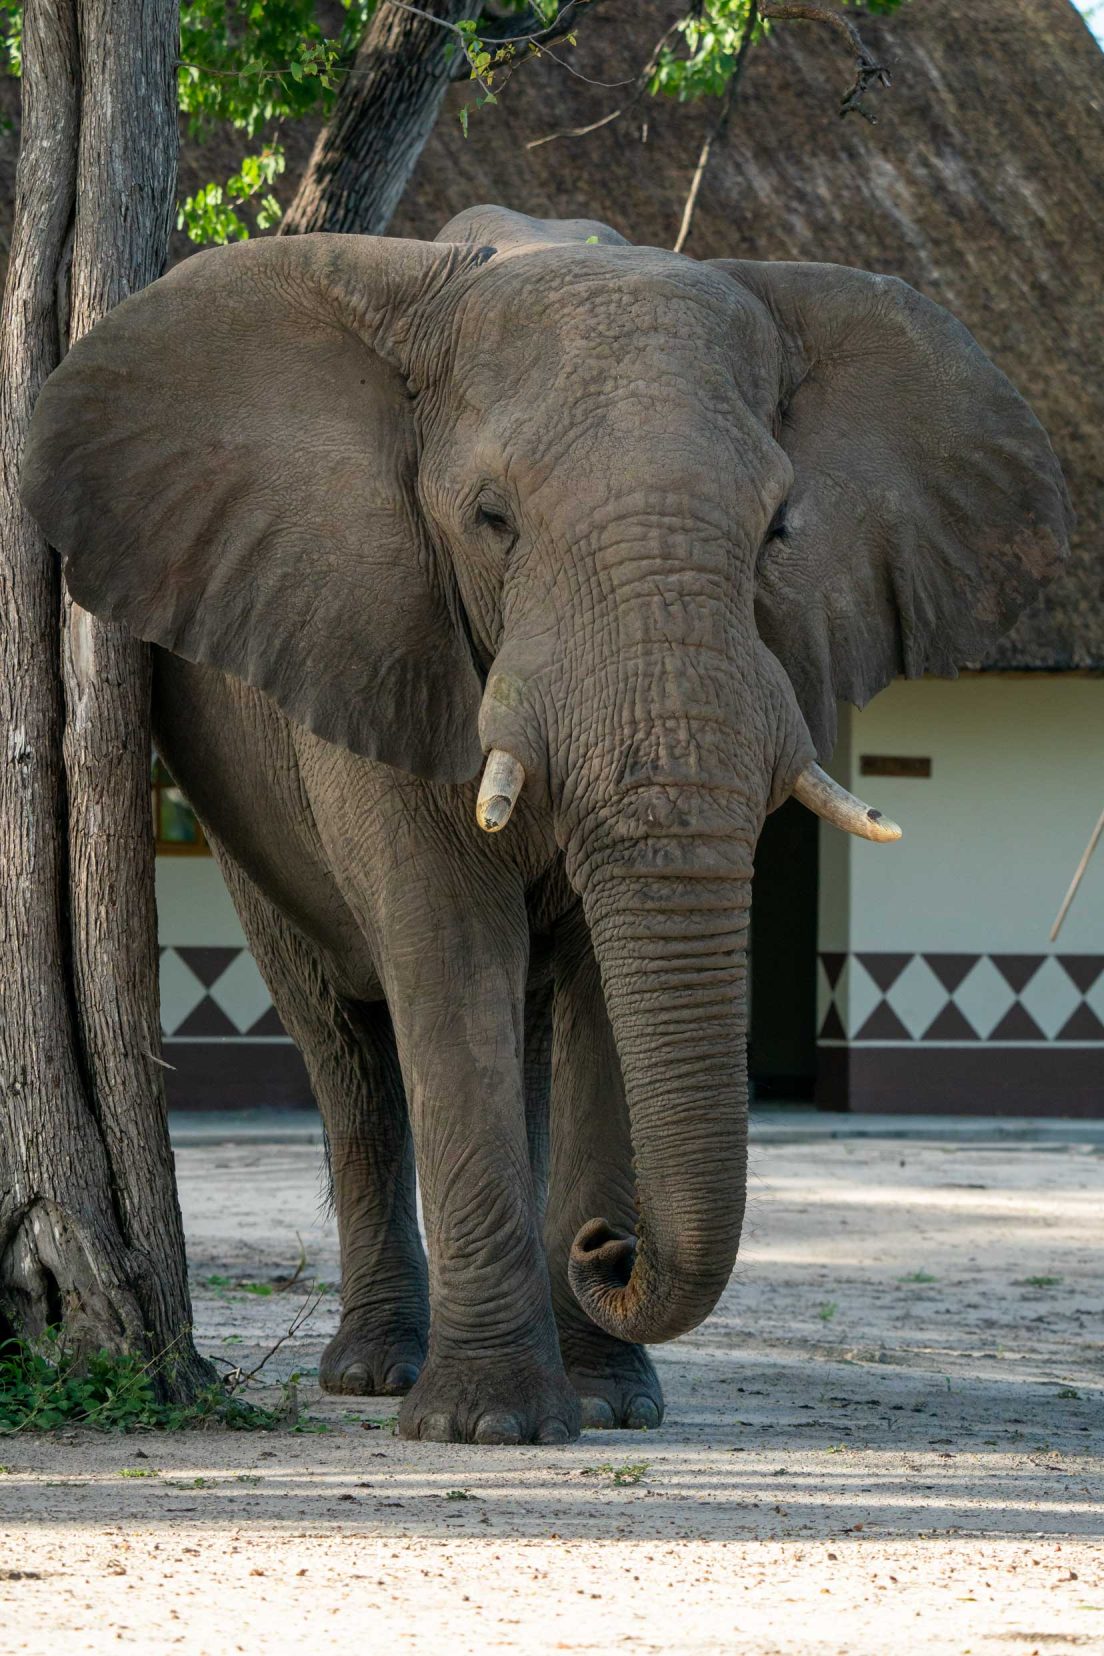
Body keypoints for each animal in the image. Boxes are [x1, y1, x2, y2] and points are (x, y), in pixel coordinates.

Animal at [19, 207, 1072, 1444]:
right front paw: (488, 1427)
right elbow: (445, 947)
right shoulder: (377, 629)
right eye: (492, 519)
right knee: (347, 1048)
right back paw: (377, 1372)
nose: (610, 1248)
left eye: (779, 528)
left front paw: (610, 1404)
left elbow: (601, 987)